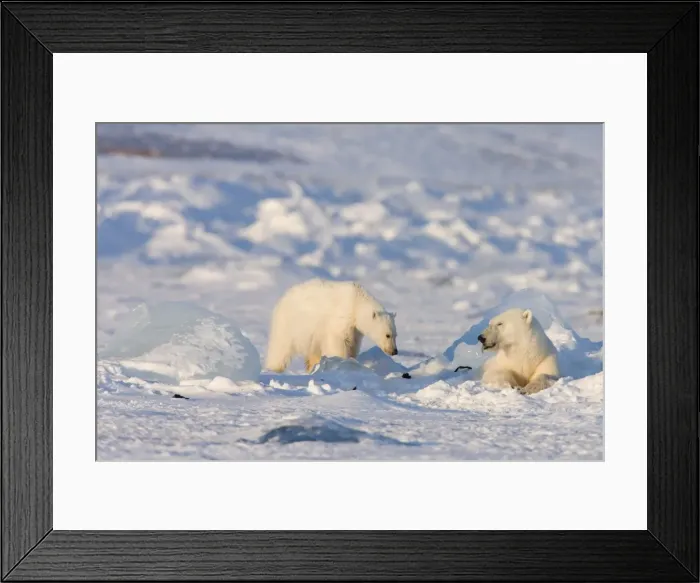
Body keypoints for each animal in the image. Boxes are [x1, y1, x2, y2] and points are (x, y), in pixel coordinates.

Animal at [264, 279, 398, 373]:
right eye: (387, 335)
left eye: (396, 335)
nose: (394, 351)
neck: (356, 301)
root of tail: (282, 299)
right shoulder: (341, 318)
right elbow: (338, 342)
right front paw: (341, 362)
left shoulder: (355, 330)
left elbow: (353, 343)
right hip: (289, 324)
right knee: (280, 349)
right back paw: (273, 369)